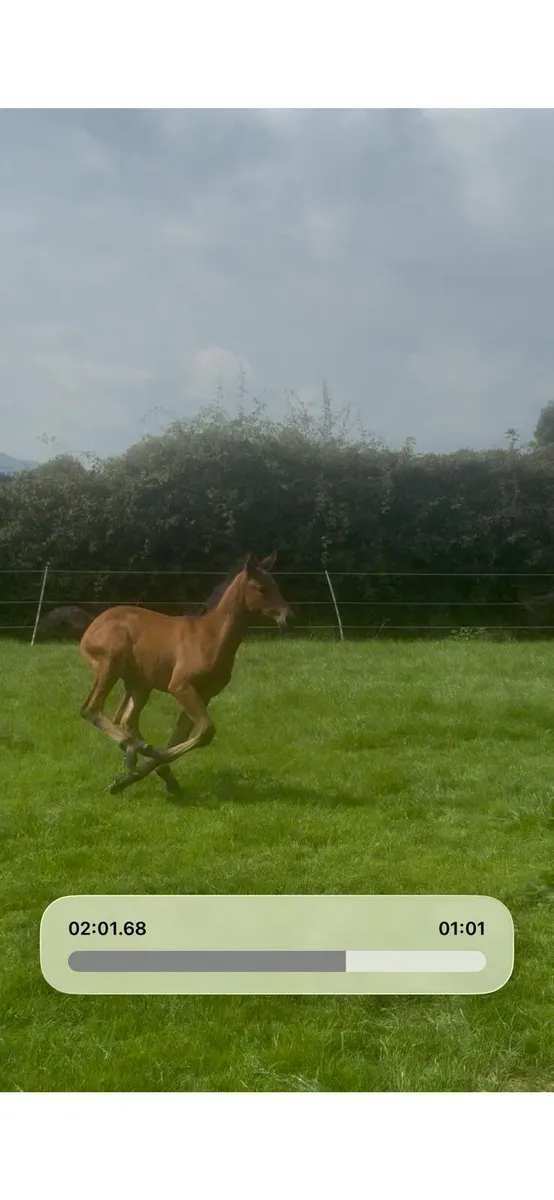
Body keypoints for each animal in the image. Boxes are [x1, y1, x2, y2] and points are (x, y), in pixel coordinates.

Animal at [79, 553, 293, 796]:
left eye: (276, 586)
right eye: (261, 589)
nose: (288, 618)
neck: (211, 636)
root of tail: (91, 628)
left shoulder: (204, 694)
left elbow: (182, 736)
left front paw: (137, 776)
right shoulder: (180, 686)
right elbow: (206, 731)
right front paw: (151, 762)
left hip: (140, 684)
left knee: (125, 720)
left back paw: (135, 753)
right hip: (109, 665)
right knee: (91, 709)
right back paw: (135, 748)